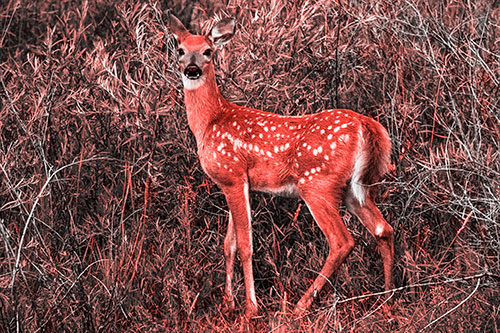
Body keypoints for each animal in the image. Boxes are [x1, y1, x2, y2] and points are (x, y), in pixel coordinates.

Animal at [168, 14, 394, 316]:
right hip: (357, 187)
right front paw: (228, 302)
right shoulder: (236, 183)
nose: (191, 70)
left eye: (208, 51)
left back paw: (299, 307)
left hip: (317, 183)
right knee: (383, 229)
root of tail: (367, 125)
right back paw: (388, 300)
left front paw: (250, 308)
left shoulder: (232, 174)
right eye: (180, 49)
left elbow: (246, 245)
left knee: (342, 241)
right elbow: (229, 244)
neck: (210, 121)